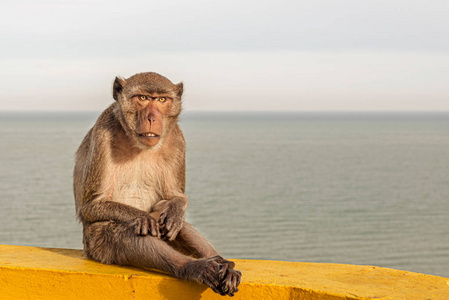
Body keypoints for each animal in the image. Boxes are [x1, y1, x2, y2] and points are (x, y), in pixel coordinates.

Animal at [73, 72, 242, 296]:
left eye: (161, 100)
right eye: (143, 98)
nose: (152, 118)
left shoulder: (177, 139)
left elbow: (174, 198)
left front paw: (176, 210)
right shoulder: (103, 133)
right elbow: (92, 205)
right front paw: (143, 217)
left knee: (172, 220)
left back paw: (222, 264)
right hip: (95, 243)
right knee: (127, 234)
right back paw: (192, 267)